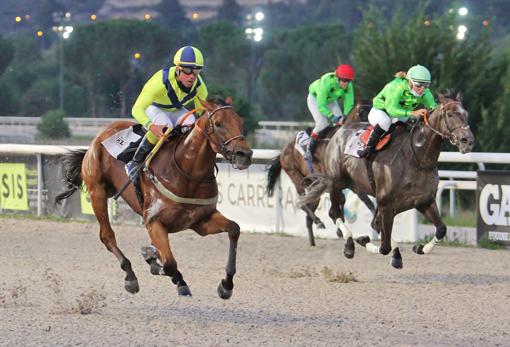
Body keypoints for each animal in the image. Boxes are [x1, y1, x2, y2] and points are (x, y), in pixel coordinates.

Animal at [55, 98, 253, 300]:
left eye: (240, 122)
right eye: (219, 123)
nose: (244, 155)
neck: (187, 172)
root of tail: (100, 136)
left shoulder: (200, 221)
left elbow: (234, 229)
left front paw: (226, 285)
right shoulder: (154, 221)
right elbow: (169, 264)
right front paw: (168, 272)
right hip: (98, 193)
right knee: (107, 236)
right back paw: (130, 276)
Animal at [298, 92, 474, 270]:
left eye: (466, 114)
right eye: (450, 114)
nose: (468, 141)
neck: (416, 157)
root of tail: (338, 133)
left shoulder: (423, 201)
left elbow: (441, 229)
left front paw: (419, 248)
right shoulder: (386, 204)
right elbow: (384, 246)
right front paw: (363, 241)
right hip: (336, 183)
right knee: (334, 212)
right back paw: (349, 245)